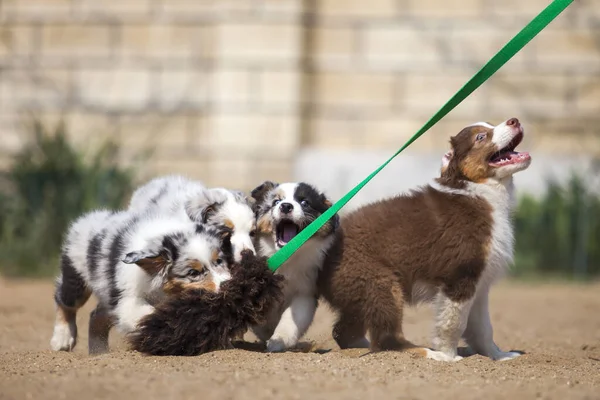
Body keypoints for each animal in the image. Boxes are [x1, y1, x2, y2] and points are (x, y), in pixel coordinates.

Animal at [248, 183, 338, 352]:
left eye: (305, 202)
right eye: (276, 201)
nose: (285, 206)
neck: (288, 254)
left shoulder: (306, 290)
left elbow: (293, 316)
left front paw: (278, 341)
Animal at [318, 117, 528, 360]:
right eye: (481, 137)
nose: (514, 120)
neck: (479, 191)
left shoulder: (480, 282)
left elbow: (484, 328)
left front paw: (499, 356)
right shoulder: (460, 275)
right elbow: (453, 323)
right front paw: (448, 356)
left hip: (358, 293)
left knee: (344, 331)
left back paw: (360, 348)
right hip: (380, 283)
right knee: (386, 339)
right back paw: (427, 353)